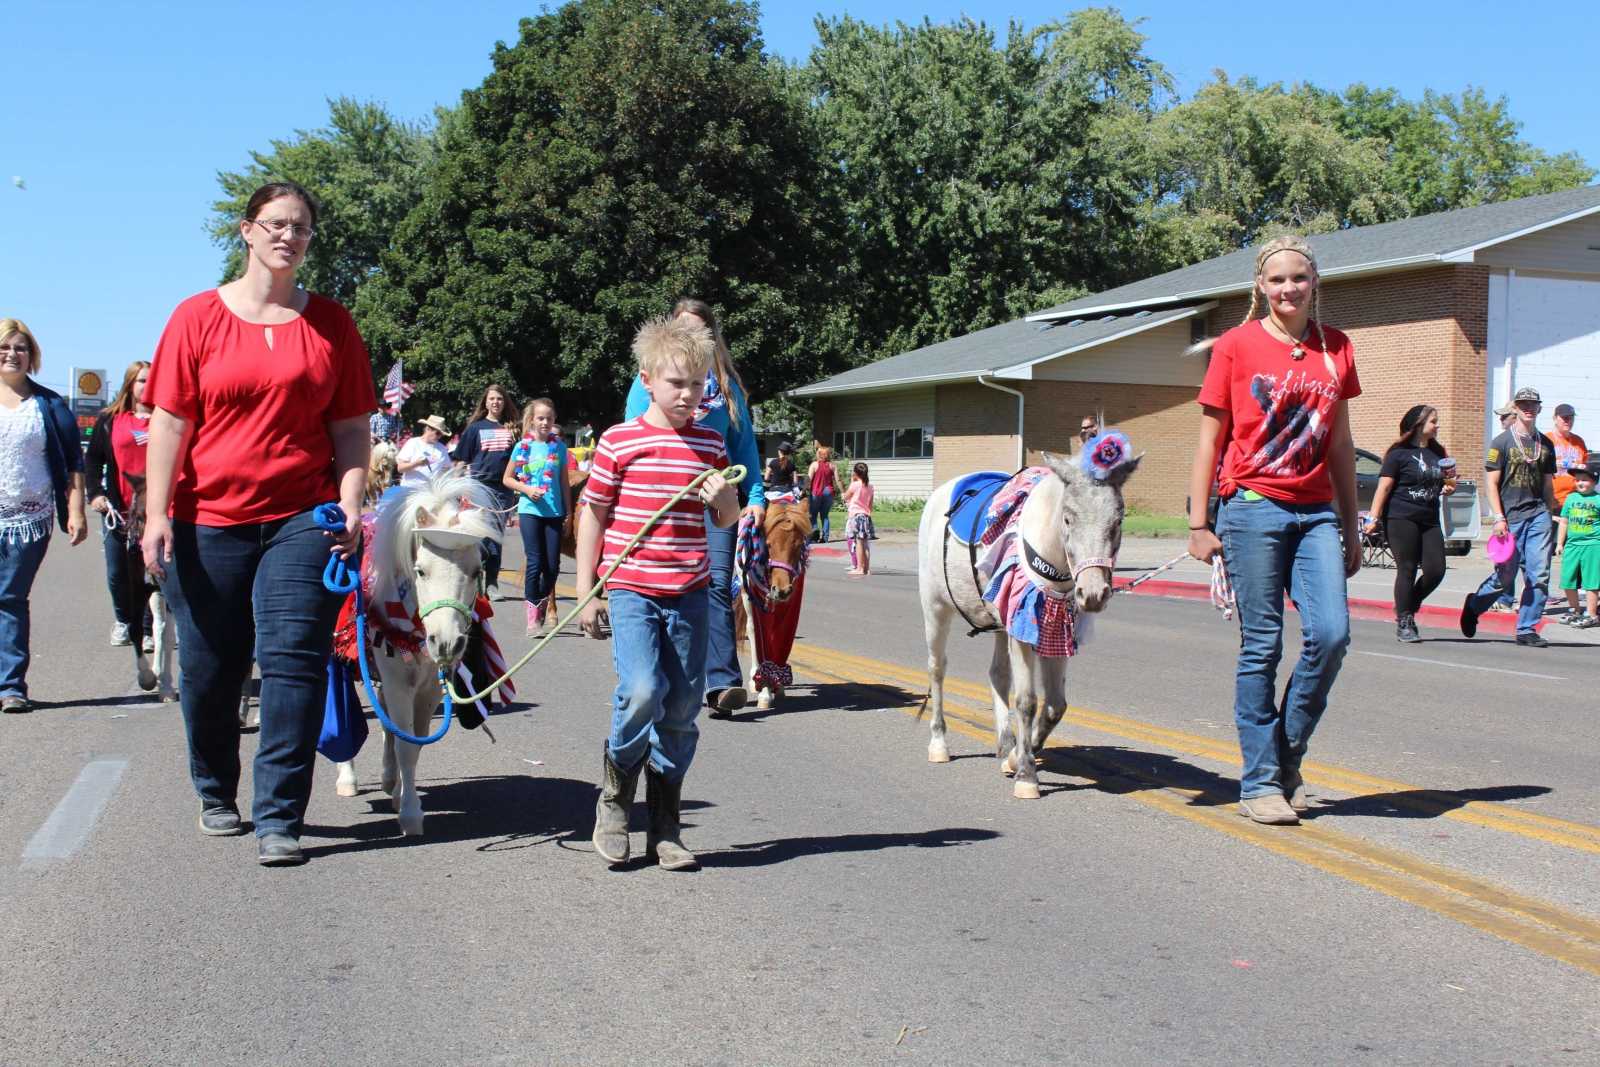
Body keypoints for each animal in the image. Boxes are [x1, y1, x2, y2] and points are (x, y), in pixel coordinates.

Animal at [329, 473, 505, 835]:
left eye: (475, 570)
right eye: (421, 570)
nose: (446, 642)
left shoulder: (429, 688)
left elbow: (414, 740)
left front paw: (400, 794)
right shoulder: (398, 681)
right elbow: (406, 745)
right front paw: (411, 814)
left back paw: (388, 780)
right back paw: (348, 777)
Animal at [733, 499, 811, 712]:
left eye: (798, 544)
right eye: (768, 544)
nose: (782, 590)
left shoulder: (791, 605)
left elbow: (782, 638)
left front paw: (779, 684)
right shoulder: (758, 601)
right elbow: (760, 640)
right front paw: (765, 689)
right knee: (750, 629)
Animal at [917, 441, 1139, 799]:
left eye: (1117, 521)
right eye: (1067, 518)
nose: (1093, 594)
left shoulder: (1054, 629)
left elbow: (1055, 705)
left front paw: (1015, 755)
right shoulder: (1024, 628)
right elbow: (1026, 701)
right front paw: (1026, 773)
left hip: (999, 622)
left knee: (997, 674)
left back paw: (1004, 741)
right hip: (935, 607)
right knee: (937, 669)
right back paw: (939, 743)